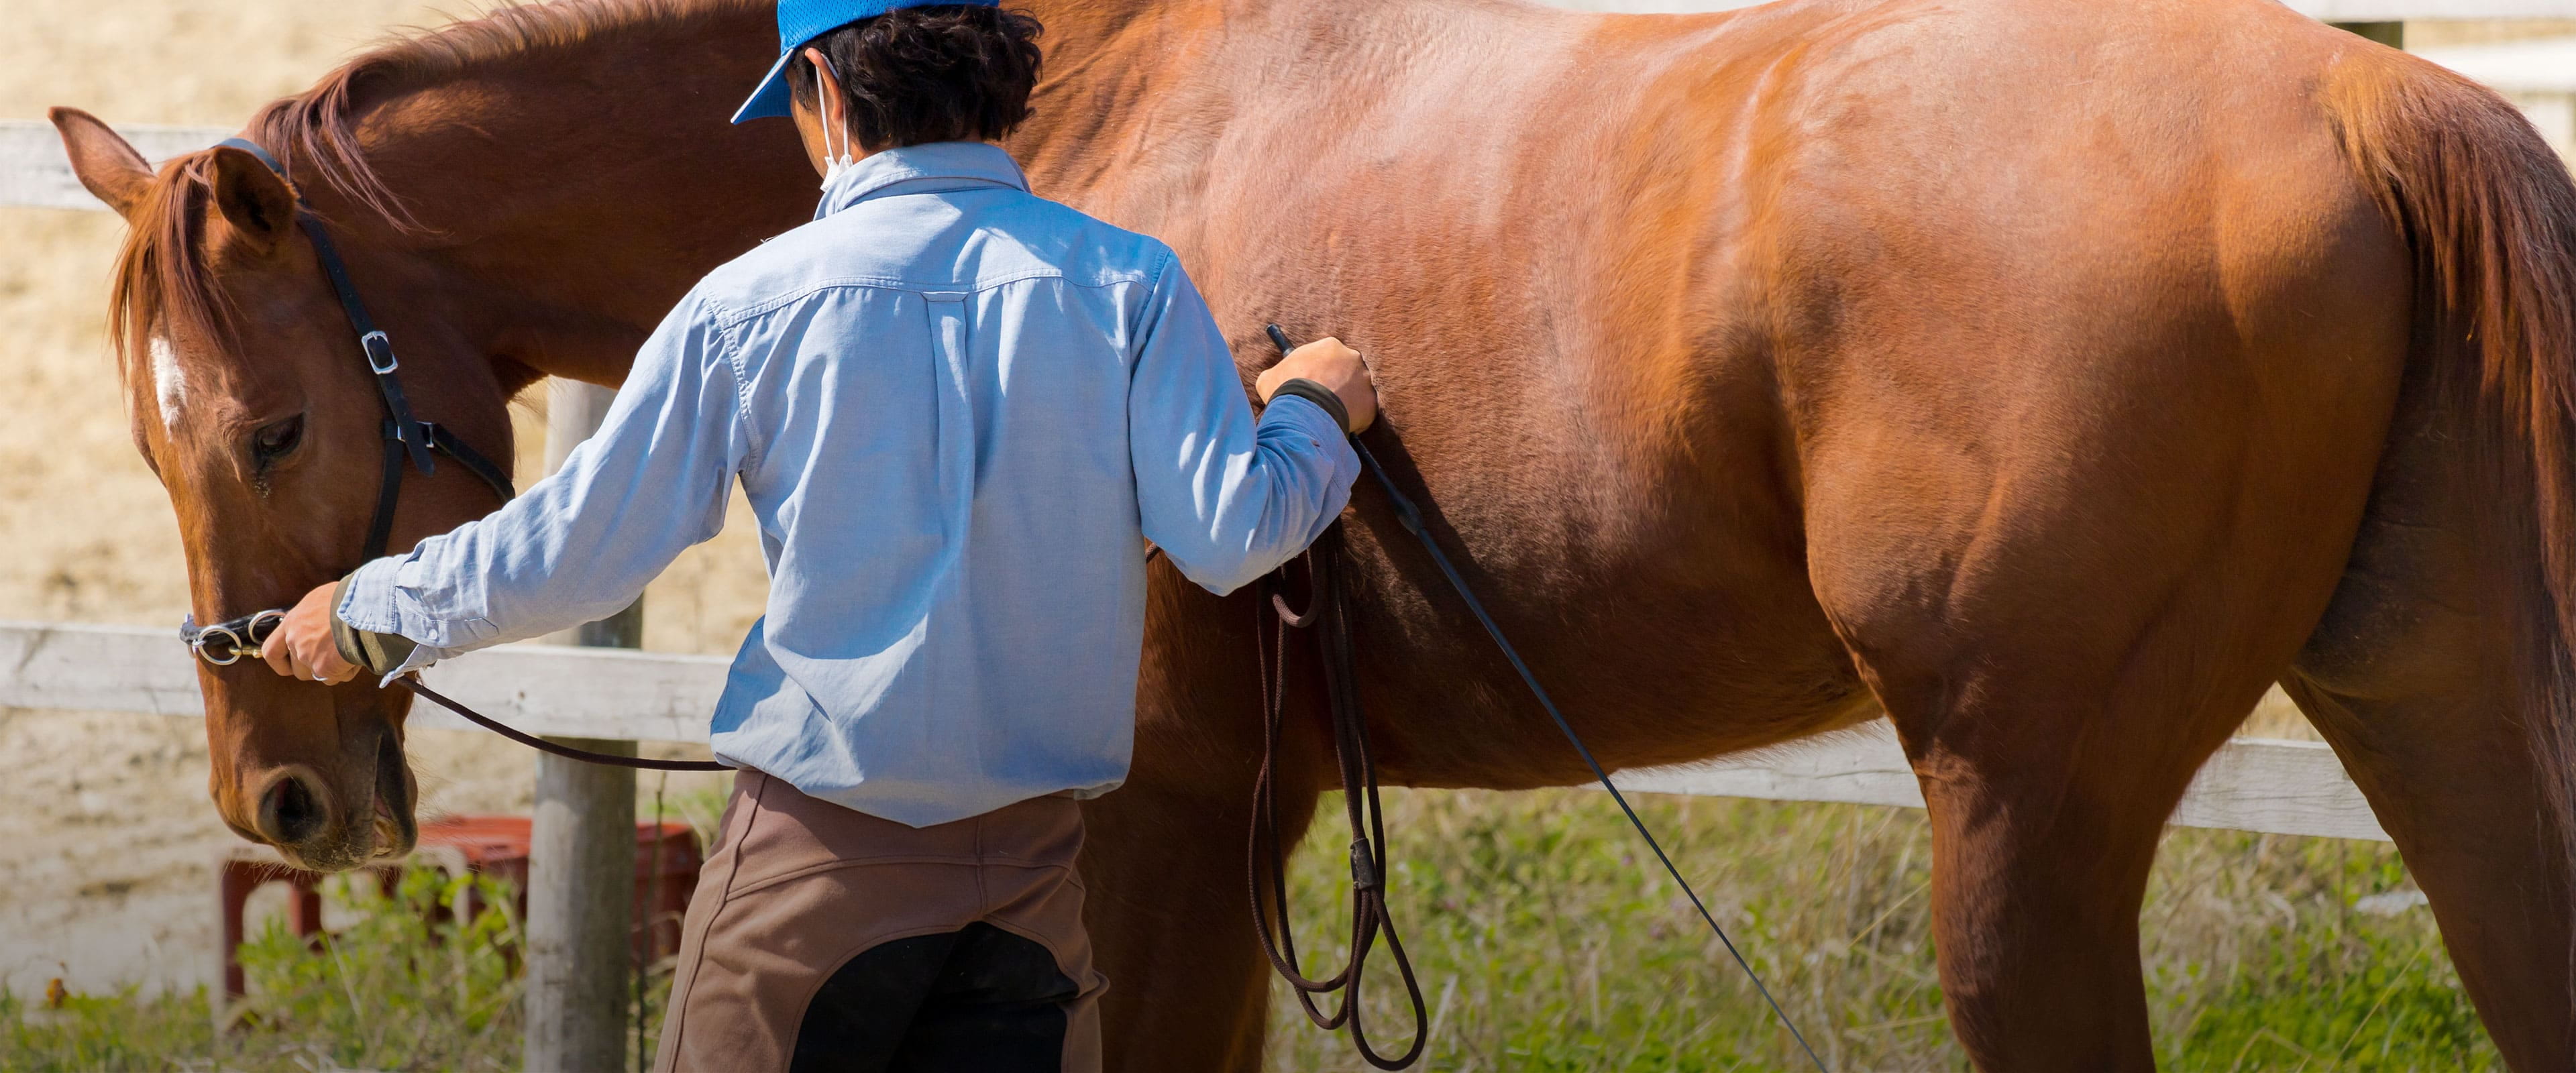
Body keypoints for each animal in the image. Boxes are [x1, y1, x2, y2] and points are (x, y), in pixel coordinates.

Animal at [45, 0, 2576, 1060]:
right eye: (151, 435)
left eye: (267, 421)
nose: (279, 786)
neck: (1066, 113)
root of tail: (2369, 96)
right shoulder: (1240, 820)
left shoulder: (1166, 809)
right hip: (2443, 725)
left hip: (2021, 825)